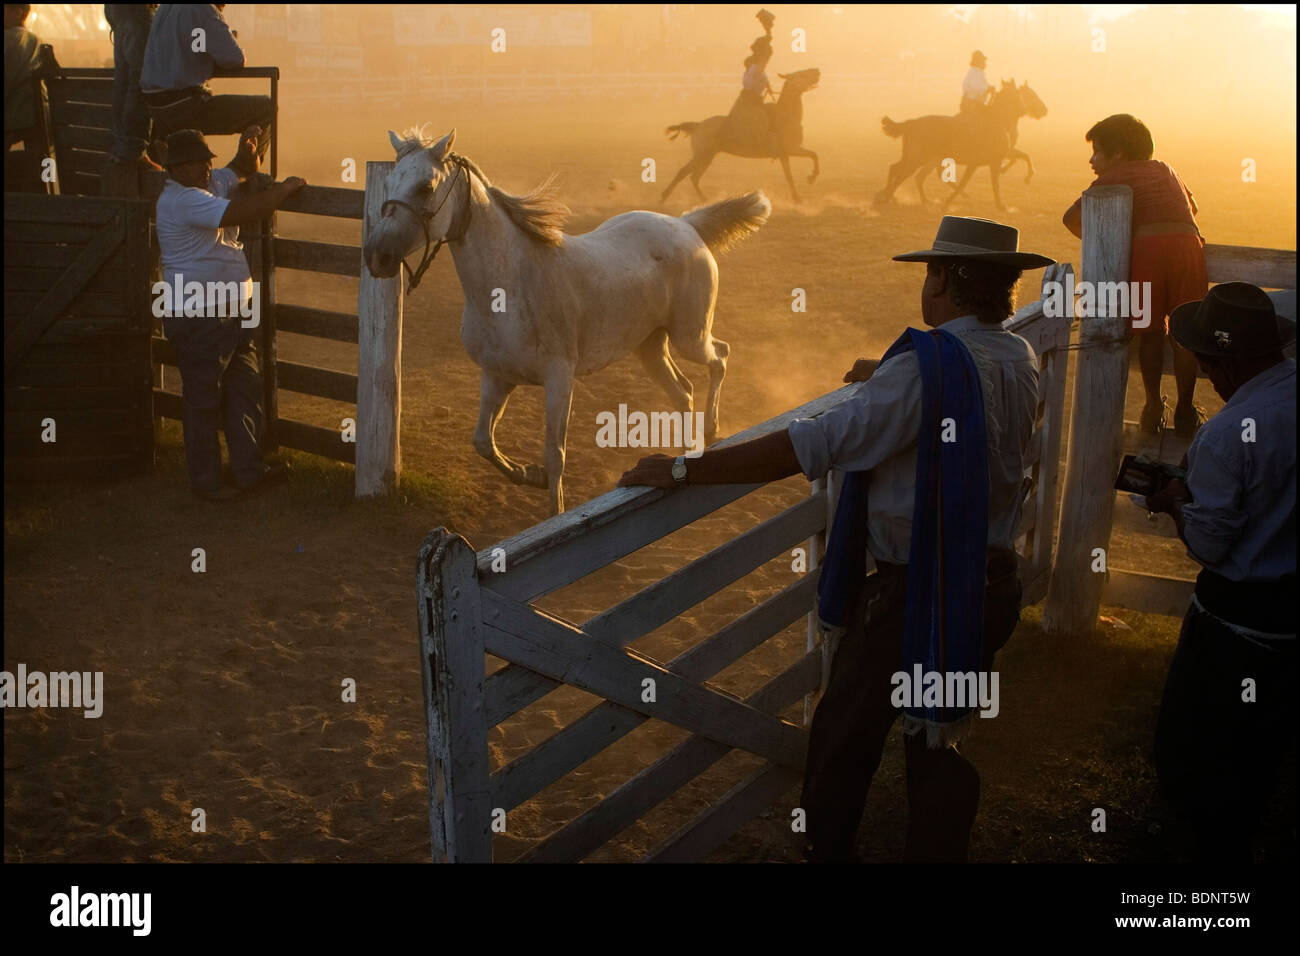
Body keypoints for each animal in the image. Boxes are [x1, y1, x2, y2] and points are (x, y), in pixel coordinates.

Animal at [364, 130, 769, 515]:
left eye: (426, 186)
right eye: (390, 182)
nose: (377, 257)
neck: (511, 287)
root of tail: (686, 226)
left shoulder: (559, 378)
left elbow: (554, 454)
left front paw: (553, 508)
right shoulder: (497, 376)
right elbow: (482, 441)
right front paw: (530, 476)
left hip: (690, 336)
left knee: (720, 356)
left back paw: (712, 428)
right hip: (649, 347)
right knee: (683, 391)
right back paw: (688, 449)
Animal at [660, 67, 821, 204]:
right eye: (800, 74)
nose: (817, 71)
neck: (785, 115)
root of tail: (698, 125)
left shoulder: (785, 154)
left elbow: (796, 170)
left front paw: (799, 195)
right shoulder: (790, 149)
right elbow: (811, 157)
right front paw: (810, 180)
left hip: (707, 156)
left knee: (694, 177)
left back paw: (704, 200)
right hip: (701, 155)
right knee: (684, 173)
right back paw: (664, 198)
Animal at [873, 79, 1045, 210]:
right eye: (1027, 95)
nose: (1044, 110)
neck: (996, 123)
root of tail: (911, 123)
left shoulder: (981, 162)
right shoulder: (990, 161)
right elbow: (992, 183)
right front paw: (1002, 205)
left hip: (916, 157)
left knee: (898, 170)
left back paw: (891, 197)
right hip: (918, 158)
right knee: (903, 175)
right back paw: (887, 197)